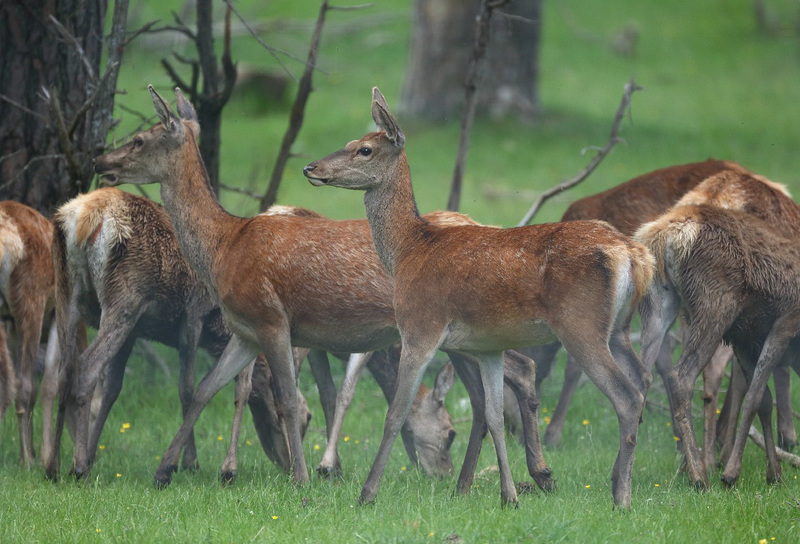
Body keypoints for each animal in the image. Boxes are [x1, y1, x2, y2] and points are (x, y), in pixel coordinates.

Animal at [92, 85, 556, 498]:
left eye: (139, 138)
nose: (99, 159)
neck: (224, 246)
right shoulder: (245, 330)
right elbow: (205, 390)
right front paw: (164, 471)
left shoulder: (272, 318)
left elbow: (288, 399)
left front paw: (300, 479)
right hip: (456, 339)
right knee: (483, 395)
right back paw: (471, 484)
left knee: (519, 367)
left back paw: (538, 473)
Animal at [304, 87, 652, 508]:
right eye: (351, 142)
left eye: (365, 149)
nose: (310, 167)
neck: (408, 251)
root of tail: (633, 255)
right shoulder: (487, 346)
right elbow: (494, 415)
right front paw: (508, 495)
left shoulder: (420, 328)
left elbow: (396, 414)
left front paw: (367, 493)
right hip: (618, 328)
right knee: (643, 379)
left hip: (580, 324)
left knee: (625, 396)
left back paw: (622, 497)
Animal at [636, 172, 800, 490]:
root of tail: (667, 235)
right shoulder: (784, 322)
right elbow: (755, 396)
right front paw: (733, 472)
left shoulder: (745, 338)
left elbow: (764, 399)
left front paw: (774, 472)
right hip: (715, 305)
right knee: (683, 377)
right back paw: (700, 474)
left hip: (660, 305)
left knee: (640, 375)